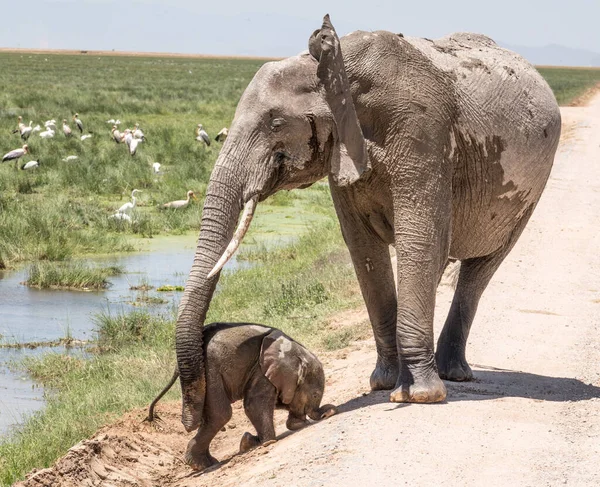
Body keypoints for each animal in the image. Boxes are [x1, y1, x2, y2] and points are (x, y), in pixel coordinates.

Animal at [146, 322, 338, 470]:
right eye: (315, 394)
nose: (329, 412)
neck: (294, 349)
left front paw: (250, 442)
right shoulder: (262, 370)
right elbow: (254, 405)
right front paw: (268, 441)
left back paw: (208, 462)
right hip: (210, 371)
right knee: (220, 415)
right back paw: (201, 465)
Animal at [176, 14, 560, 434]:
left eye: (275, 122)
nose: (189, 422)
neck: (334, 69)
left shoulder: (421, 131)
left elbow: (418, 240)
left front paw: (419, 397)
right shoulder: (343, 152)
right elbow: (363, 249)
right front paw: (385, 384)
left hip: (530, 191)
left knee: (482, 267)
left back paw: (452, 375)